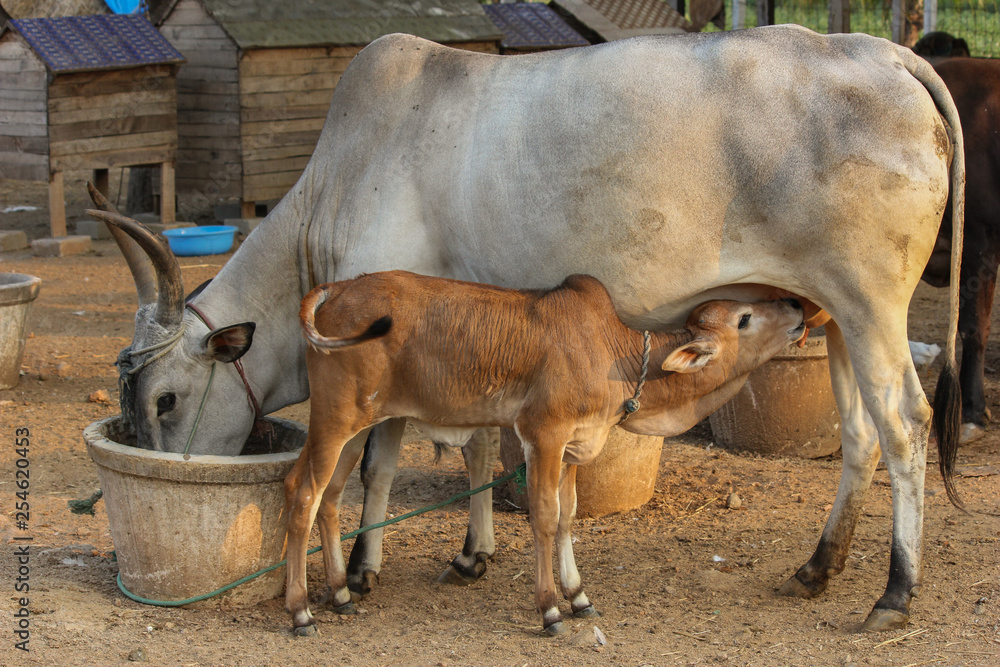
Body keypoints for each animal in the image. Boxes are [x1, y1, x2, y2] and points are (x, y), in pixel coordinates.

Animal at [284, 270, 806, 635]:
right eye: (745, 318)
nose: (796, 303)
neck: (612, 353)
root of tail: (337, 287)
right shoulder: (544, 436)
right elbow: (545, 517)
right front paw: (550, 608)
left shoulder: (575, 448)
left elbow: (568, 515)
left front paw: (578, 596)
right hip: (333, 421)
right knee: (303, 492)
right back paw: (301, 611)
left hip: (354, 429)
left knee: (328, 496)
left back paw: (339, 594)